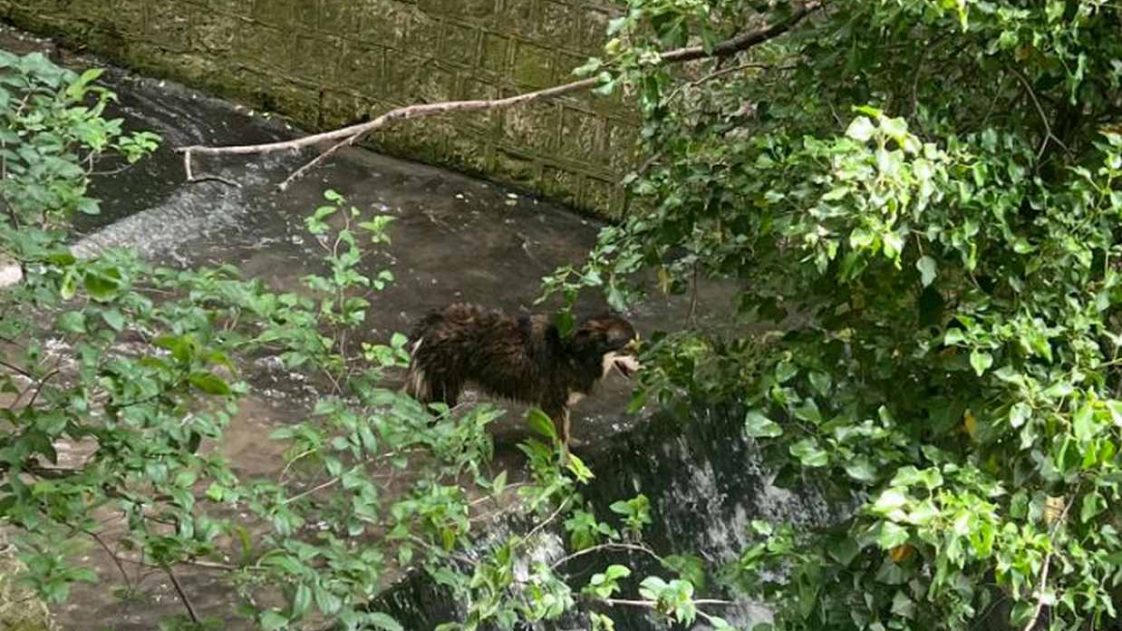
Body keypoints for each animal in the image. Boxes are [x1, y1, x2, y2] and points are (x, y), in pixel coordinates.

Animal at [403, 303, 640, 450]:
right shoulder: (553, 402)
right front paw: (566, 464)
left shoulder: (561, 405)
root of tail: (432, 320)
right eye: (628, 348)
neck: (574, 353)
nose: (644, 363)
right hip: (443, 388)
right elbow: (560, 437)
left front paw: (572, 443)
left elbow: (566, 429)